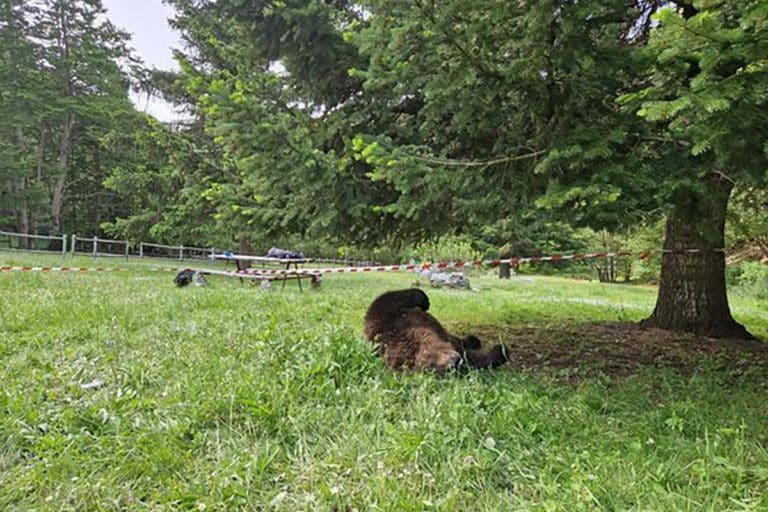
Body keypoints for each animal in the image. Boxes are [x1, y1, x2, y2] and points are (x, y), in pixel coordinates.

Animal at [364, 288, 508, 374]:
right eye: (431, 368)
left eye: (428, 356)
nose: (454, 364)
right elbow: (475, 359)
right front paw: (501, 351)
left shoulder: (390, 319)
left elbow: (386, 300)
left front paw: (424, 302)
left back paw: (473, 340)